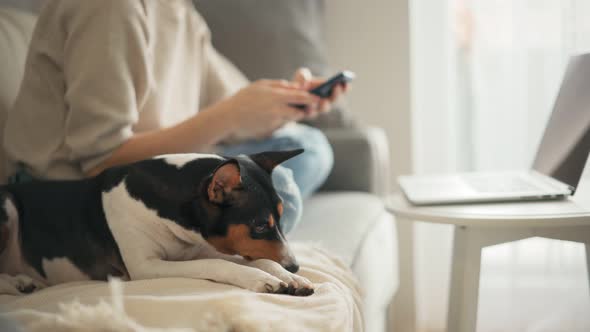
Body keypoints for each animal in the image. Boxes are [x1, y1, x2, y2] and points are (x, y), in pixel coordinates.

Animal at [0, 149, 316, 296]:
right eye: (260, 225)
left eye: (281, 217)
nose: (294, 265)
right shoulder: (145, 267)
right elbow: (219, 264)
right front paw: (262, 278)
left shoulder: (199, 247)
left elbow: (258, 259)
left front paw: (288, 277)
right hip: (8, 207)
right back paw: (18, 283)